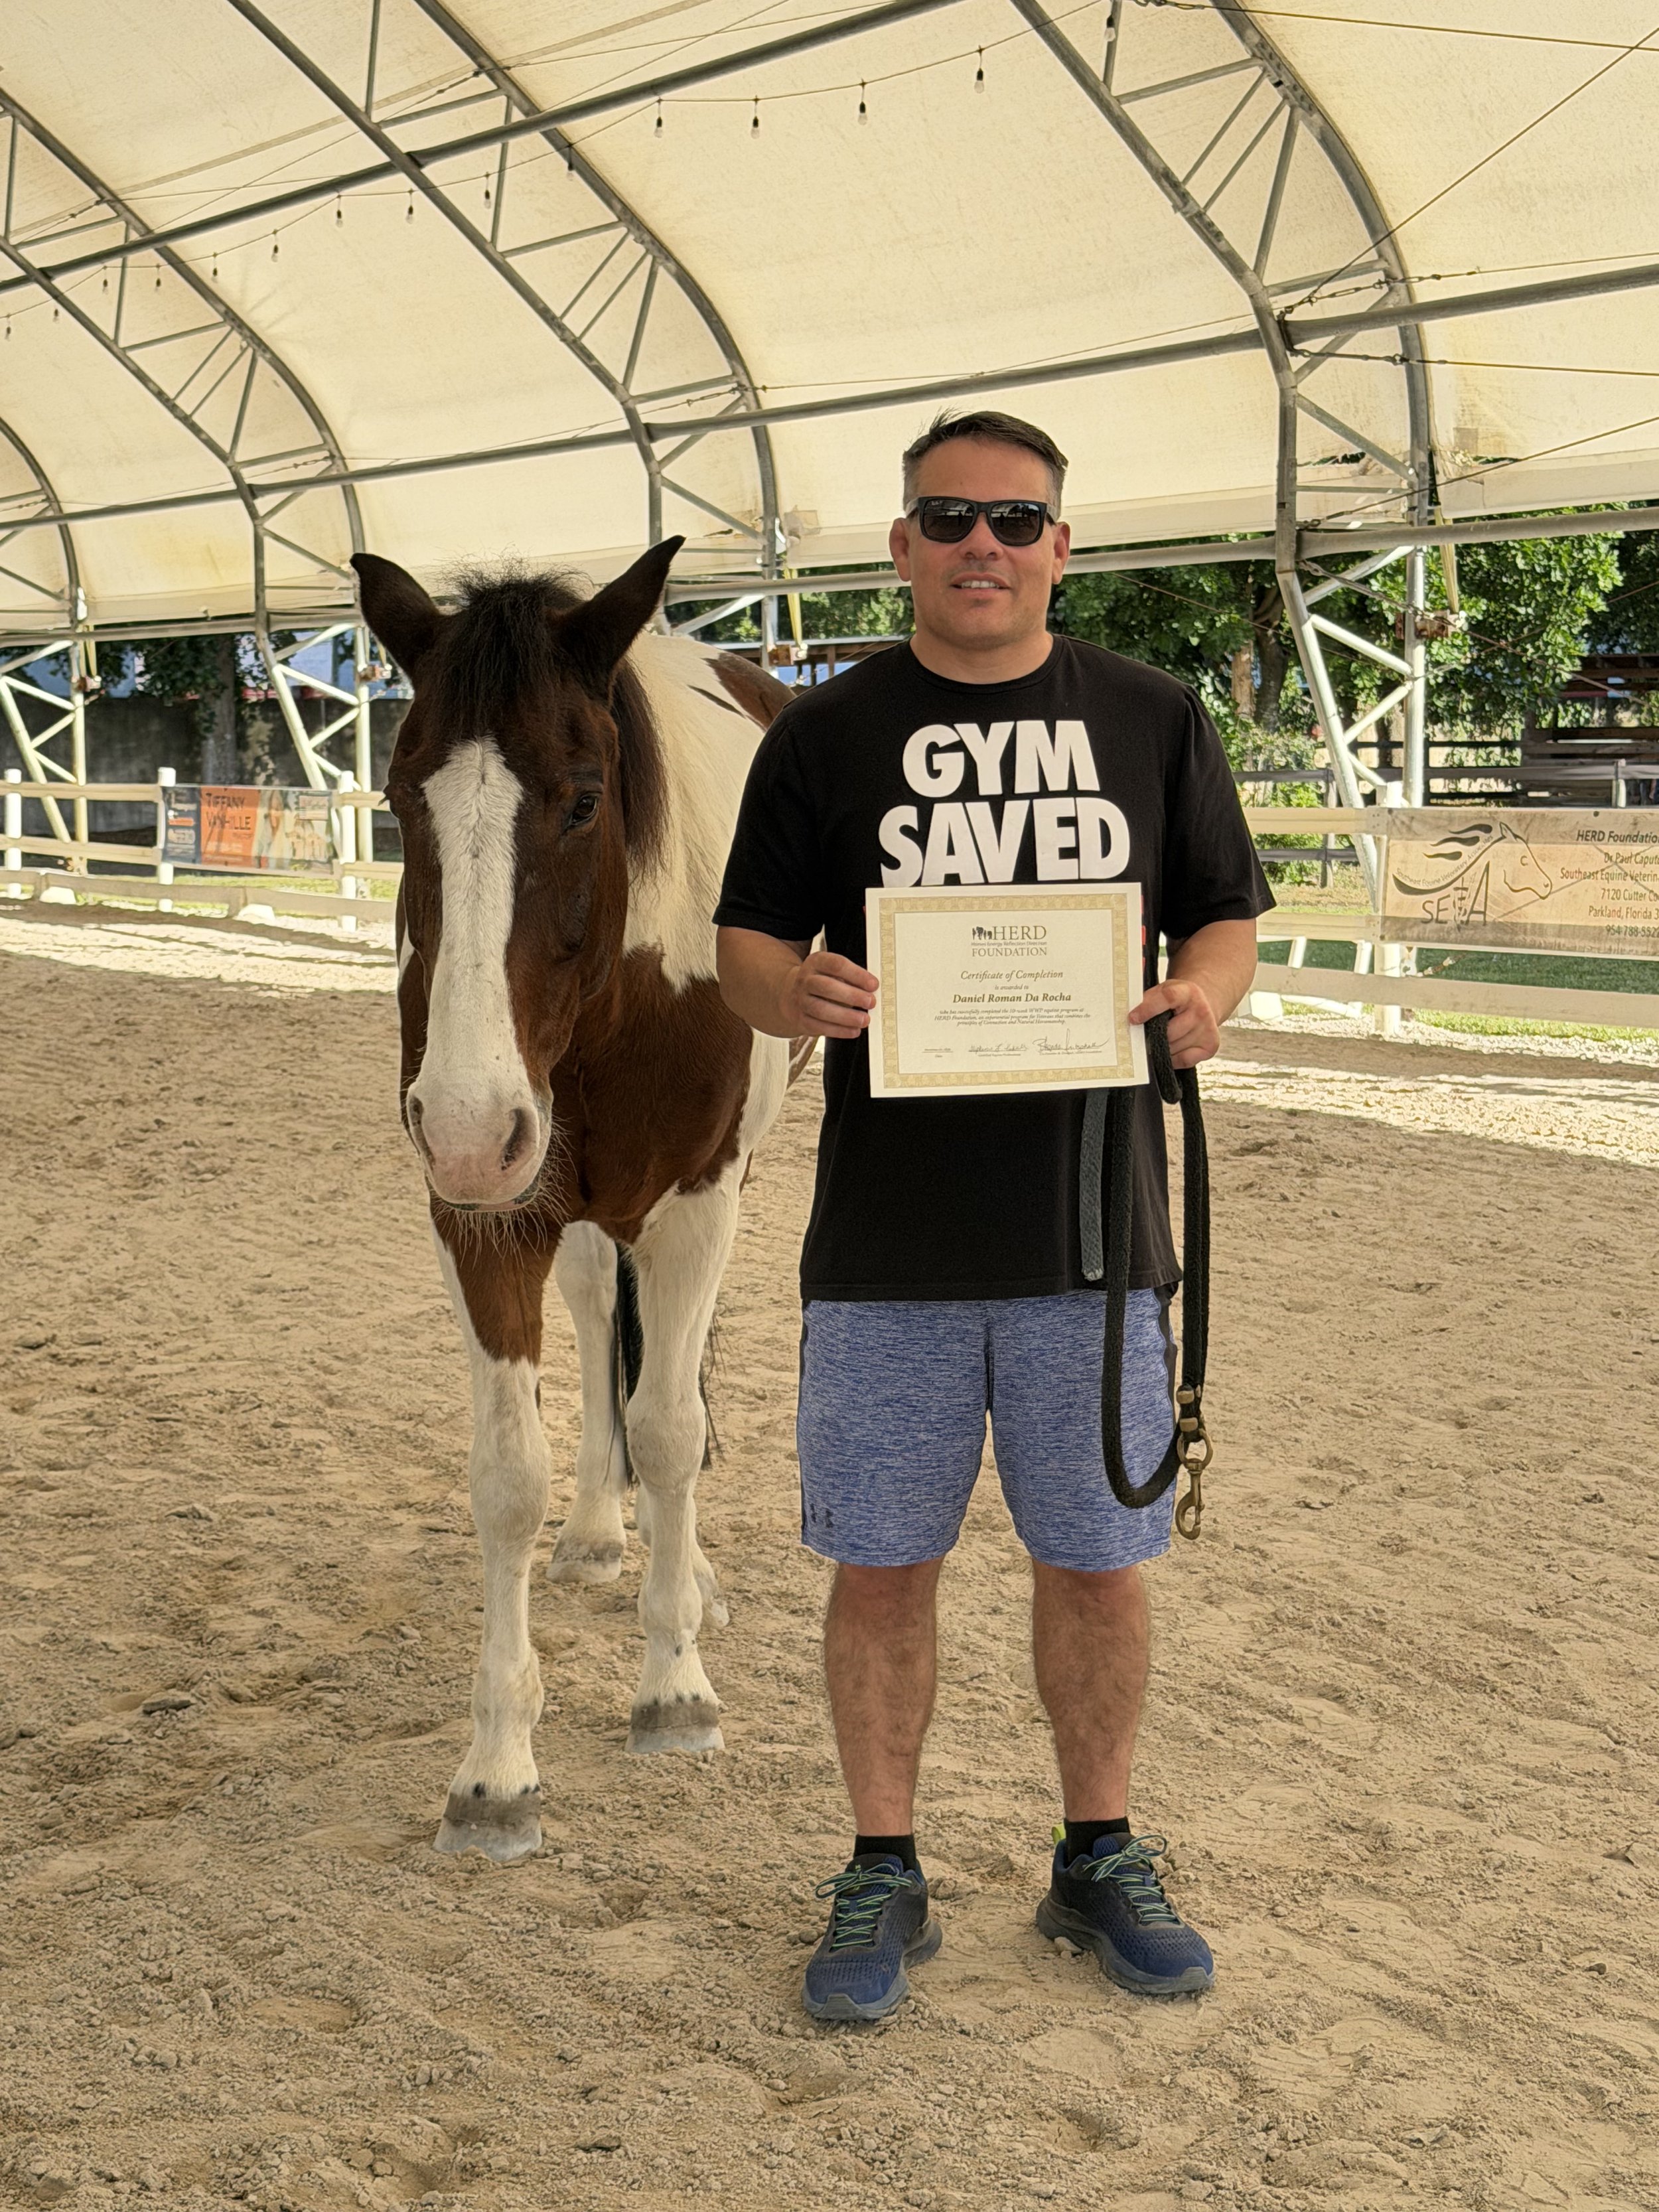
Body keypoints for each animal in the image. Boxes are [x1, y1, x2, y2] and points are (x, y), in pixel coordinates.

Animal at [352, 538, 793, 1863]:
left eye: (586, 797)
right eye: (400, 798)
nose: (461, 1123)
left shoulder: (698, 1198)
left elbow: (673, 1427)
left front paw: (676, 1685)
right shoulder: (485, 1216)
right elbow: (509, 1477)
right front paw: (498, 1766)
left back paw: (682, 1573)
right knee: (603, 1306)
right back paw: (604, 1529)